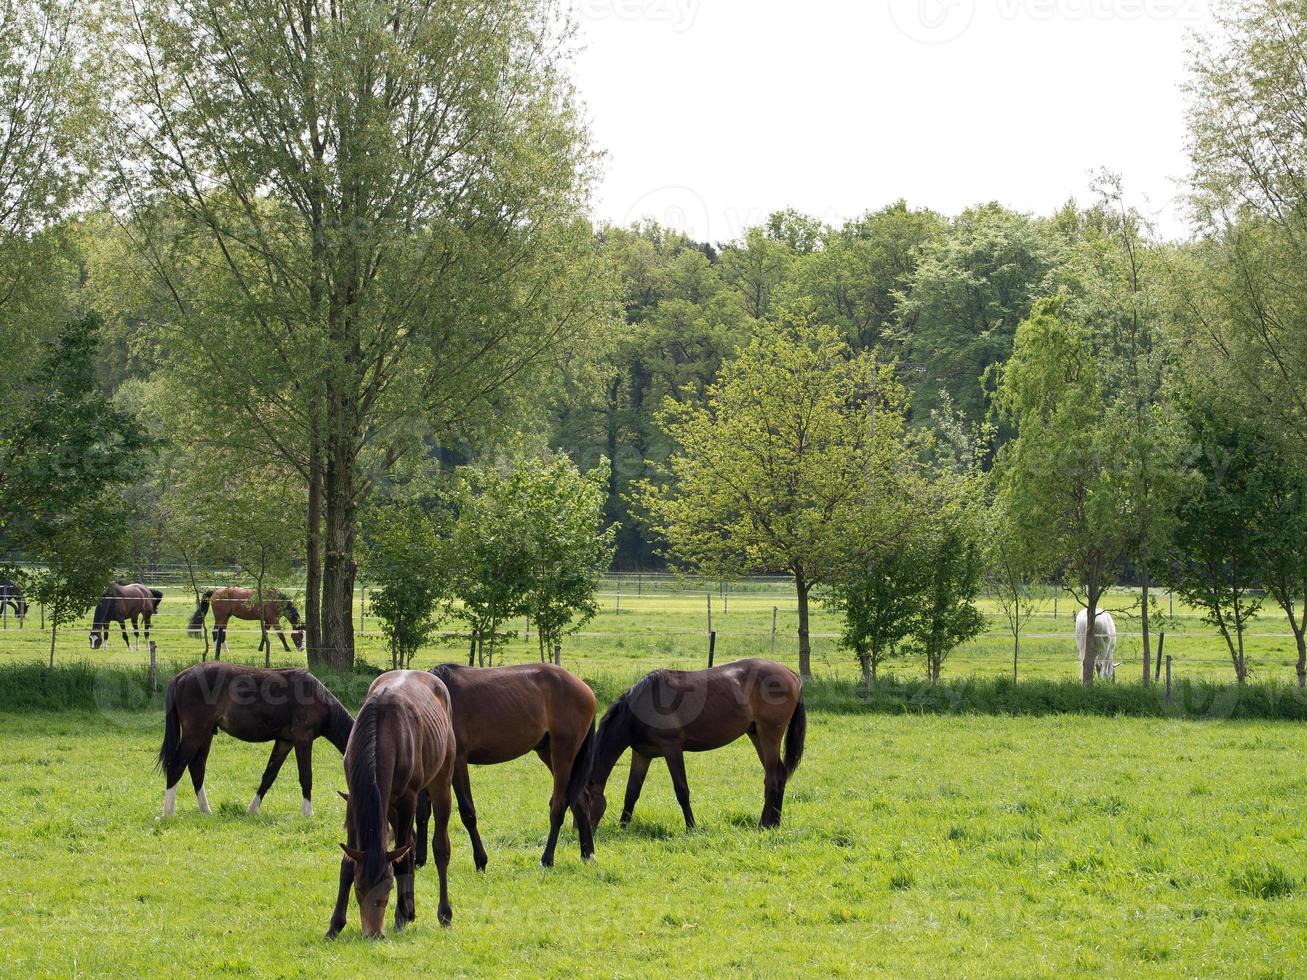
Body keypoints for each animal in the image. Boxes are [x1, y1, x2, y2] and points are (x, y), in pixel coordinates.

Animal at [156, 661, 352, 820]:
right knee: (176, 766)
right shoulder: (303, 739)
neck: (316, 697)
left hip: (205, 735)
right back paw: (168, 813)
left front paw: (252, 809)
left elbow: (269, 775)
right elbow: (306, 776)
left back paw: (206, 810)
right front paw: (308, 813)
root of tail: (182, 676)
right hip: (195, 733)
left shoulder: (285, 742)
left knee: (197, 768)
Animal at [329, 674, 457, 940]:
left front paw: (400, 916)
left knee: (439, 847)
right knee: (409, 842)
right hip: (389, 807)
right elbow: (348, 863)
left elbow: (402, 859)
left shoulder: (408, 798)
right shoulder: (354, 800)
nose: (374, 933)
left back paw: (442, 914)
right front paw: (334, 924)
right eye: (359, 887)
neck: (381, 733)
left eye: (387, 887)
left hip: (441, 779)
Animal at [413, 663, 598, 872]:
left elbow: (467, 813)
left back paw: (547, 859)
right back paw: (587, 854)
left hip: (563, 754)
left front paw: (481, 860)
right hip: (548, 752)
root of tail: (586, 690)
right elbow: (422, 812)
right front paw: (419, 860)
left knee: (559, 806)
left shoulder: (458, 762)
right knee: (580, 801)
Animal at [585, 663, 805, 831]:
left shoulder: (672, 749)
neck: (640, 708)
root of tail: (791, 673)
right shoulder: (642, 754)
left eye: (585, 803)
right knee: (780, 775)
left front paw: (691, 827)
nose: (583, 832)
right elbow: (632, 791)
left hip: (769, 735)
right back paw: (774, 823)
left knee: (772, 778)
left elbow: (682, 790)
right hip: (756, 735)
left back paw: (764, 824)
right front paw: (623, 826)